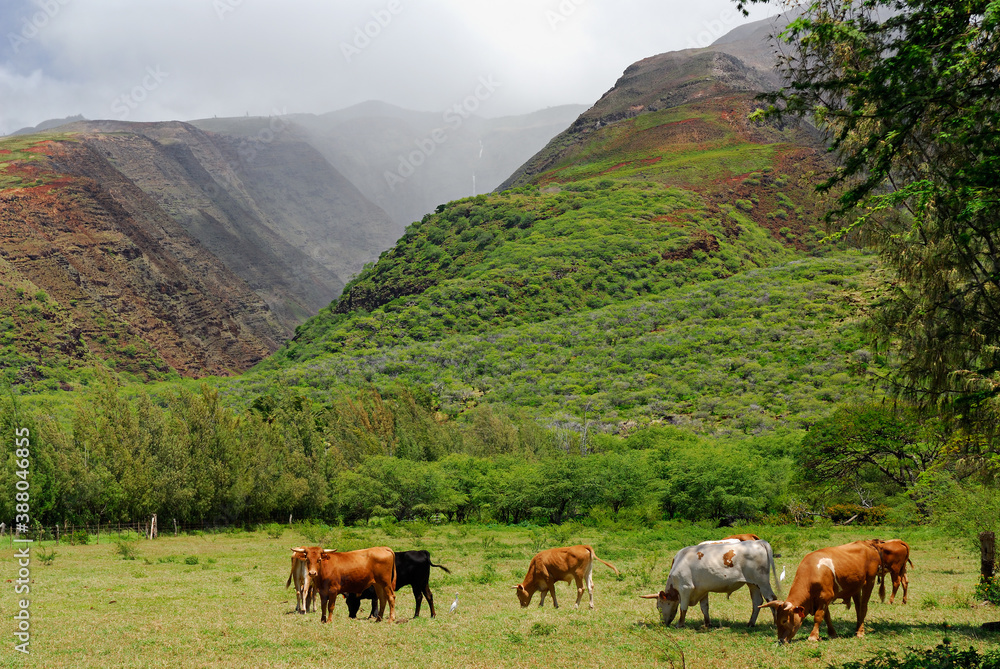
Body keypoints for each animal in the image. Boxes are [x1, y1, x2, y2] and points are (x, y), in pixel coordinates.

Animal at [641, 539, 780, 628]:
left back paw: (775, 623)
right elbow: (704, 607)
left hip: (763, 582)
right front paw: (707, 624)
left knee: (772, 599)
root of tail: (758, 542)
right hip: (753, 584)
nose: (662, 623)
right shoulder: (702, 590)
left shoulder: (685, 588)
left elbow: (683, 608)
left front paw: (680, 624)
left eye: (658, 607)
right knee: (757, 602)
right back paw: (750, 623)